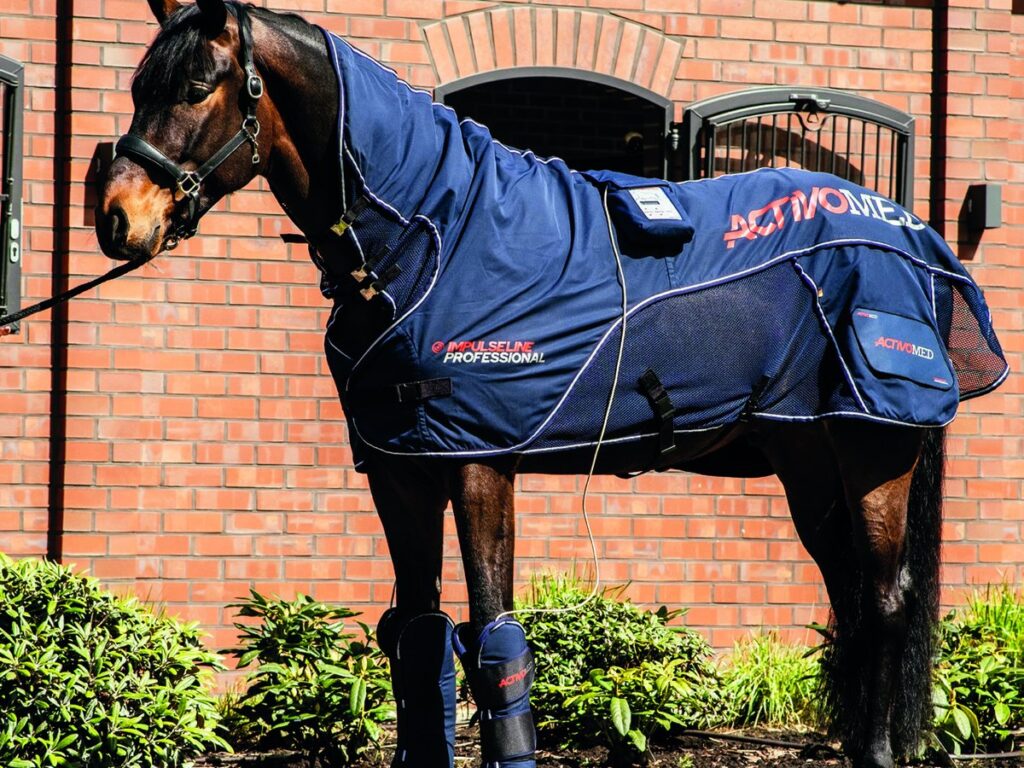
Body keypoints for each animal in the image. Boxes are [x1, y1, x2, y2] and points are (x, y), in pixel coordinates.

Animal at [94, 2, 1009, 767]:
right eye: (139, 87)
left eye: (197, 86)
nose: (116, 218)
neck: (434, 232)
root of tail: (914, 235)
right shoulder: (400, 468)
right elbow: (418, 636)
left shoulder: (479, 463)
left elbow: (494, 640)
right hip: (809, 463)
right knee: (852, 602)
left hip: (873, 456)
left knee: (885, 606)